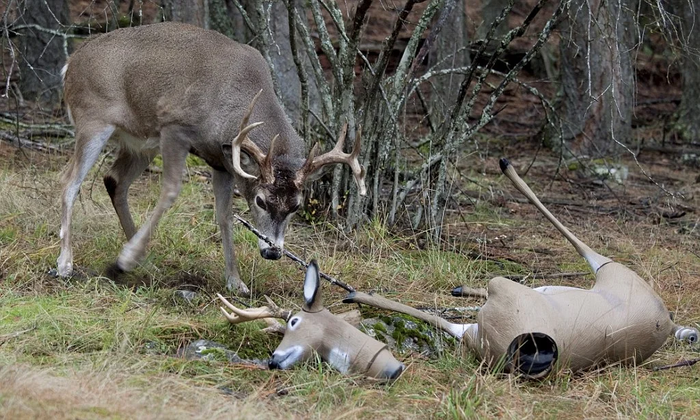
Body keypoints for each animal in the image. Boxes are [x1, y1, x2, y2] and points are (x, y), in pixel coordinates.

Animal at [56, 22, 366, 296]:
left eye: (296, 206)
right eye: (261, 201)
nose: (273, 252)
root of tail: (70, 63)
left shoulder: (223, 162)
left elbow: (225, 216)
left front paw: (236, 282)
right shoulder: (174, 126)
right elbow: (170, 191)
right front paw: (124, 259)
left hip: (140, 143)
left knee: (114, 180)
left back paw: (144, 263)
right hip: (93, 119)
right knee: (69, 181)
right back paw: (66, 264)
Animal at [342, 159, 696, 378]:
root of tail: (666, 321)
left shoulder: (496, 297)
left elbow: (438, 317)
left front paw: (354, 292)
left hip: (610, 270)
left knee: (585, 249)